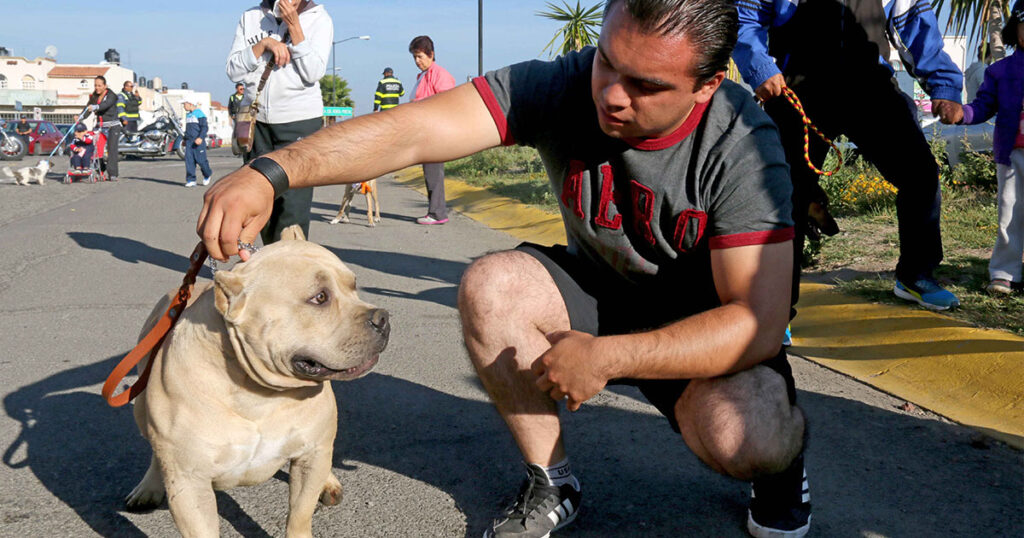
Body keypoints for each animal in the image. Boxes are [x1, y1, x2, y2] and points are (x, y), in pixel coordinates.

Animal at [123, 227, 387, 536]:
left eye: (354, 286)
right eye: (320, 297)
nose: (382, 318)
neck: (258, 394)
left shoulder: (311, 455)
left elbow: (300, 513)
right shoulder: (189, 485)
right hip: (141, 407)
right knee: (155, 450)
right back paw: (148, 487)